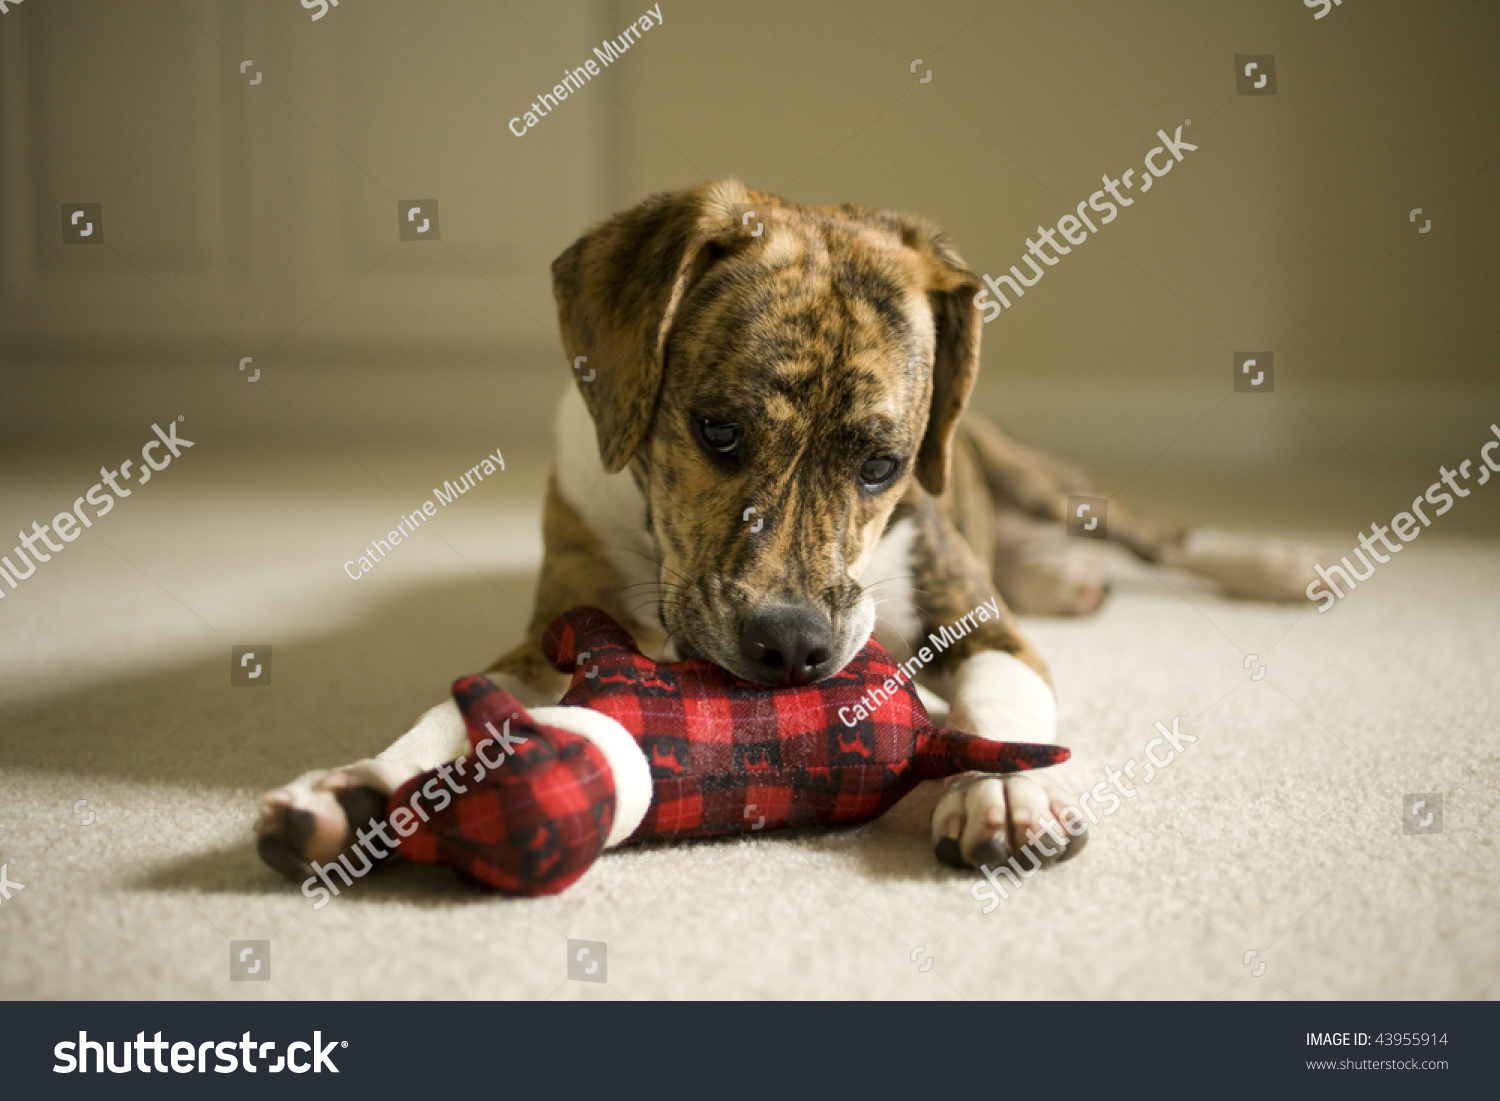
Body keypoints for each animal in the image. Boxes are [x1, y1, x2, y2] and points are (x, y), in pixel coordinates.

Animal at [261, 183, 1326, 888]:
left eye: (883, 466)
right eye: (716, 430)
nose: (792, 646)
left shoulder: (978, 621)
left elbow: (1004, 694)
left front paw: (1003, 792)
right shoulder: (555, 625)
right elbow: (459, 710)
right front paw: (358, 789)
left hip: (1042, 478)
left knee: (1155, 531)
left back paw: (1275, 562)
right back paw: (1071, 580)